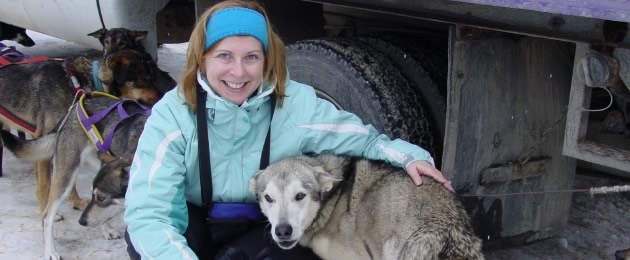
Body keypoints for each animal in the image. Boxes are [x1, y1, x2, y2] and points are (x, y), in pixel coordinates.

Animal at [0, 95, 149, 260]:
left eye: (102, 198)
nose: (81, 221)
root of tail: (72, 110)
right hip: (66, 176)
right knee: (47, 216)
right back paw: (50, 251)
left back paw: (105, 228)